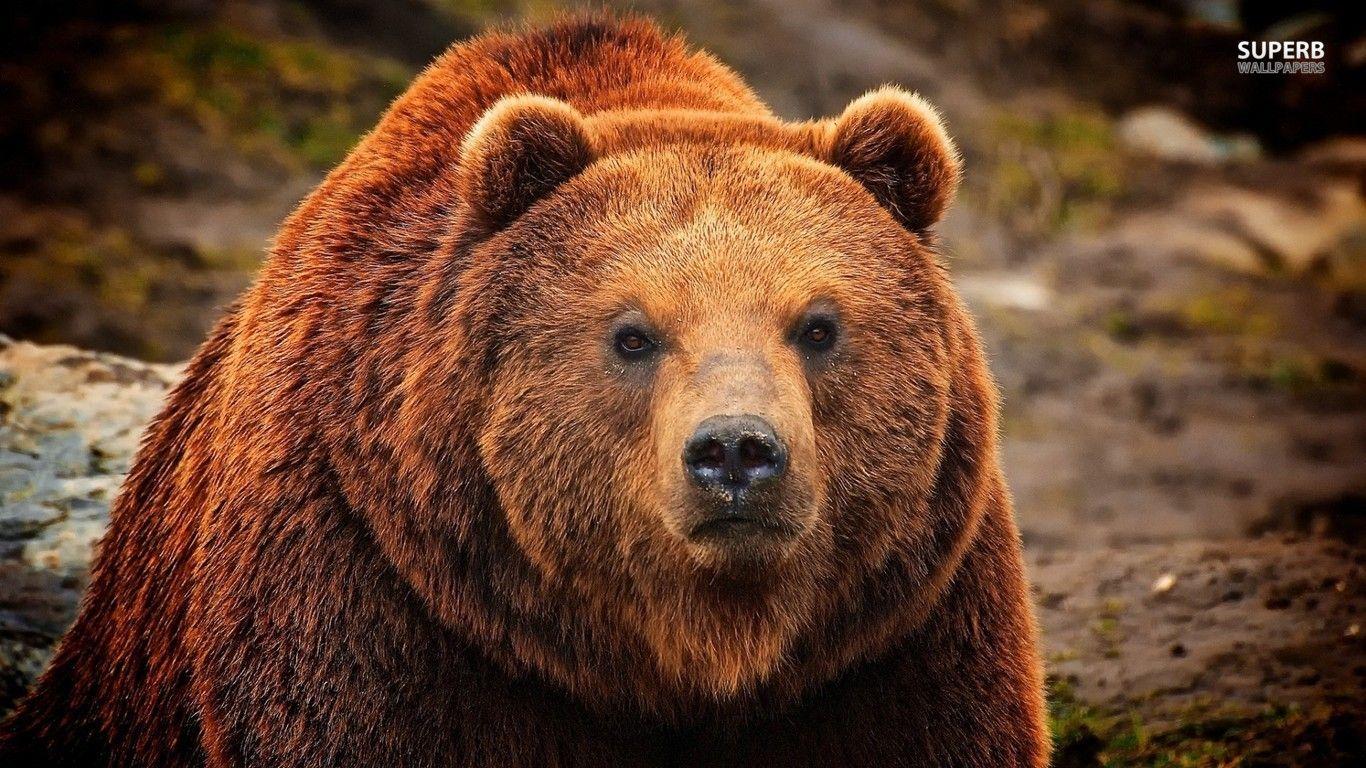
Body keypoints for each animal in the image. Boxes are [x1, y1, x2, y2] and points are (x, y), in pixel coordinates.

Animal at [0, 14, 1047, 767]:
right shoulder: (375, 596)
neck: (683, 654)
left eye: (819, 325)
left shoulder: (890, 635)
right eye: (632, 334)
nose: (736, 453)